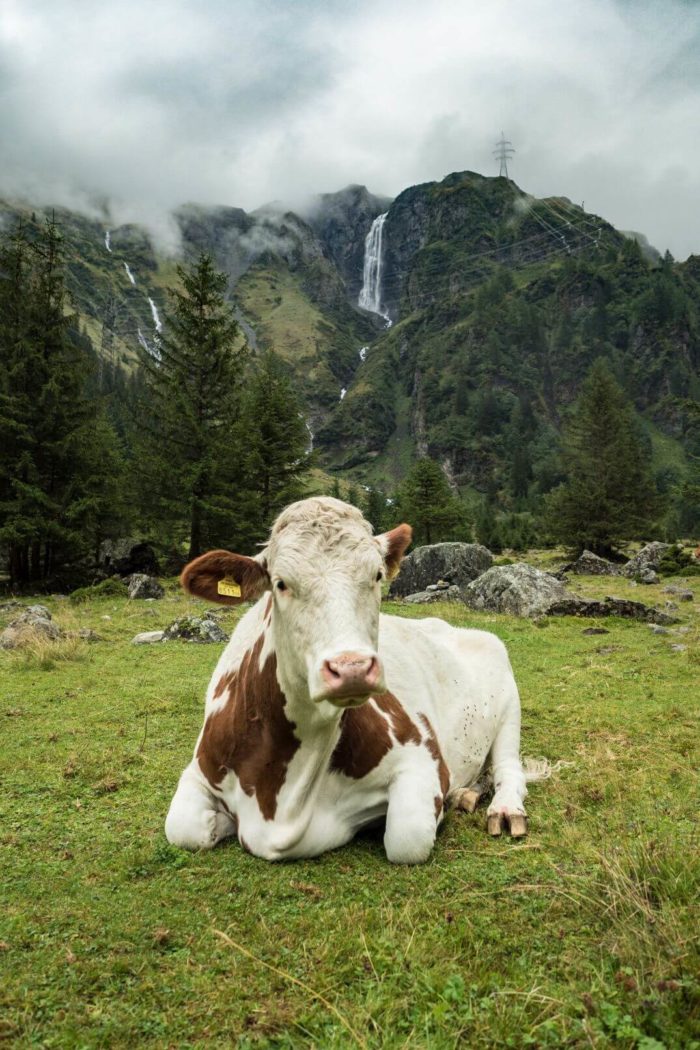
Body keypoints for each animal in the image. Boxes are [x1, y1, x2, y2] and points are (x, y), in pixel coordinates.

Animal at [165, 495, 545, 865]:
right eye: (280, 583)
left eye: (377, 575)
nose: (352, 669)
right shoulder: (199, 771)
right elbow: (182, 829)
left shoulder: (422, 756)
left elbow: (407, 838)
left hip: (510, 708)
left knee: (508, 769)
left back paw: (504, 809)